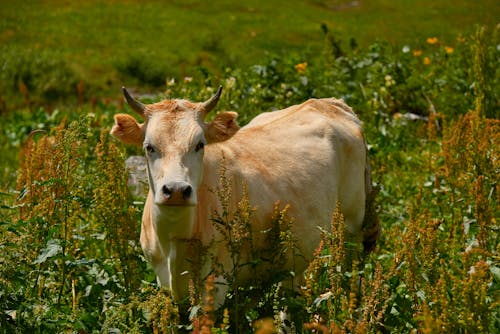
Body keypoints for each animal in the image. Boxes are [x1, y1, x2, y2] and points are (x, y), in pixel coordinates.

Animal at [111, 86, 378, 306]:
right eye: (149, 147)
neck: (175, 242)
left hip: (351, 229)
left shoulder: (215, 283)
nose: (176, 190)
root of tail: (328, 103)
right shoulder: (164, 281)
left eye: (200, 144)